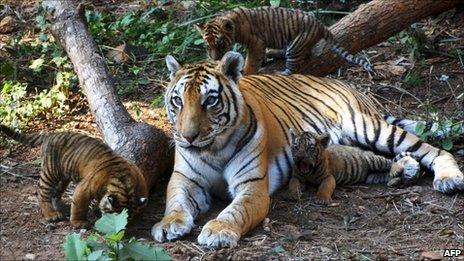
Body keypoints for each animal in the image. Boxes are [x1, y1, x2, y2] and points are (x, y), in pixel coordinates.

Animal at [151, 51, 460, 248]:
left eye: (210, 101)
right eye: (177, 100)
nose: (188, 137)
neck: (212, 148)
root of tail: (343, 83)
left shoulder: (253, 186)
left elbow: (235, 210)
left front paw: (218, 230)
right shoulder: (184, 179)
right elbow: (175, 202)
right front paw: (168, 225)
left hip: (368, 127)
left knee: (431, 149)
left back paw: (449, 178)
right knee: (376, 160)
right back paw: (406, 168)